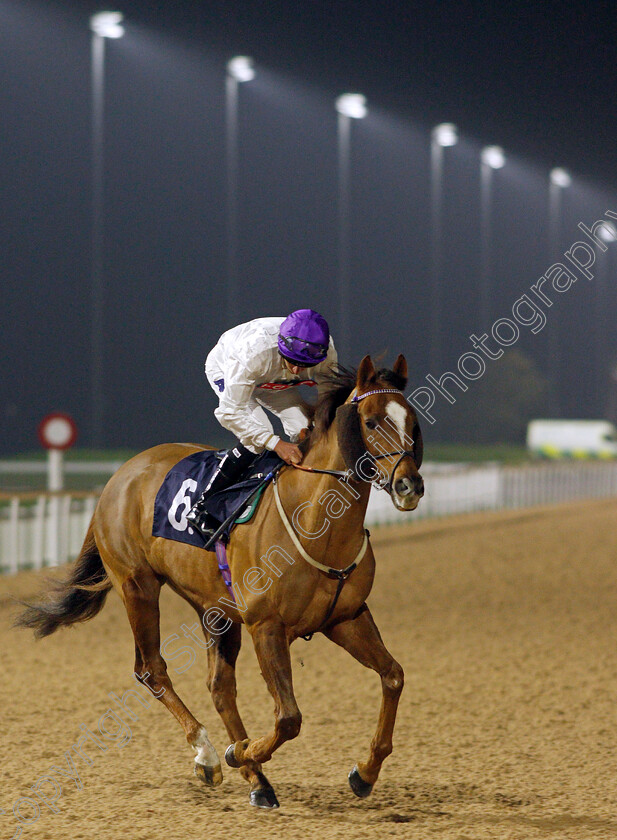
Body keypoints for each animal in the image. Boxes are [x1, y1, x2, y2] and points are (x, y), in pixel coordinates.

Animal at [18, 352, 424, 808]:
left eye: (412, 420)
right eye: (370, 421)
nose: (409, 485)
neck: (316, 524)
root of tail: (120, 475)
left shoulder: (346, 617)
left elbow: (393, 676)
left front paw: (364, 772)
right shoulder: (267, 626)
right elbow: (289, 717)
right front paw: (238, 752)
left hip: (215, 609)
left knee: (219, 687)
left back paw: (256, 780)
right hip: (137, 585)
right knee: (152, 670)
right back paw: (210, 755)